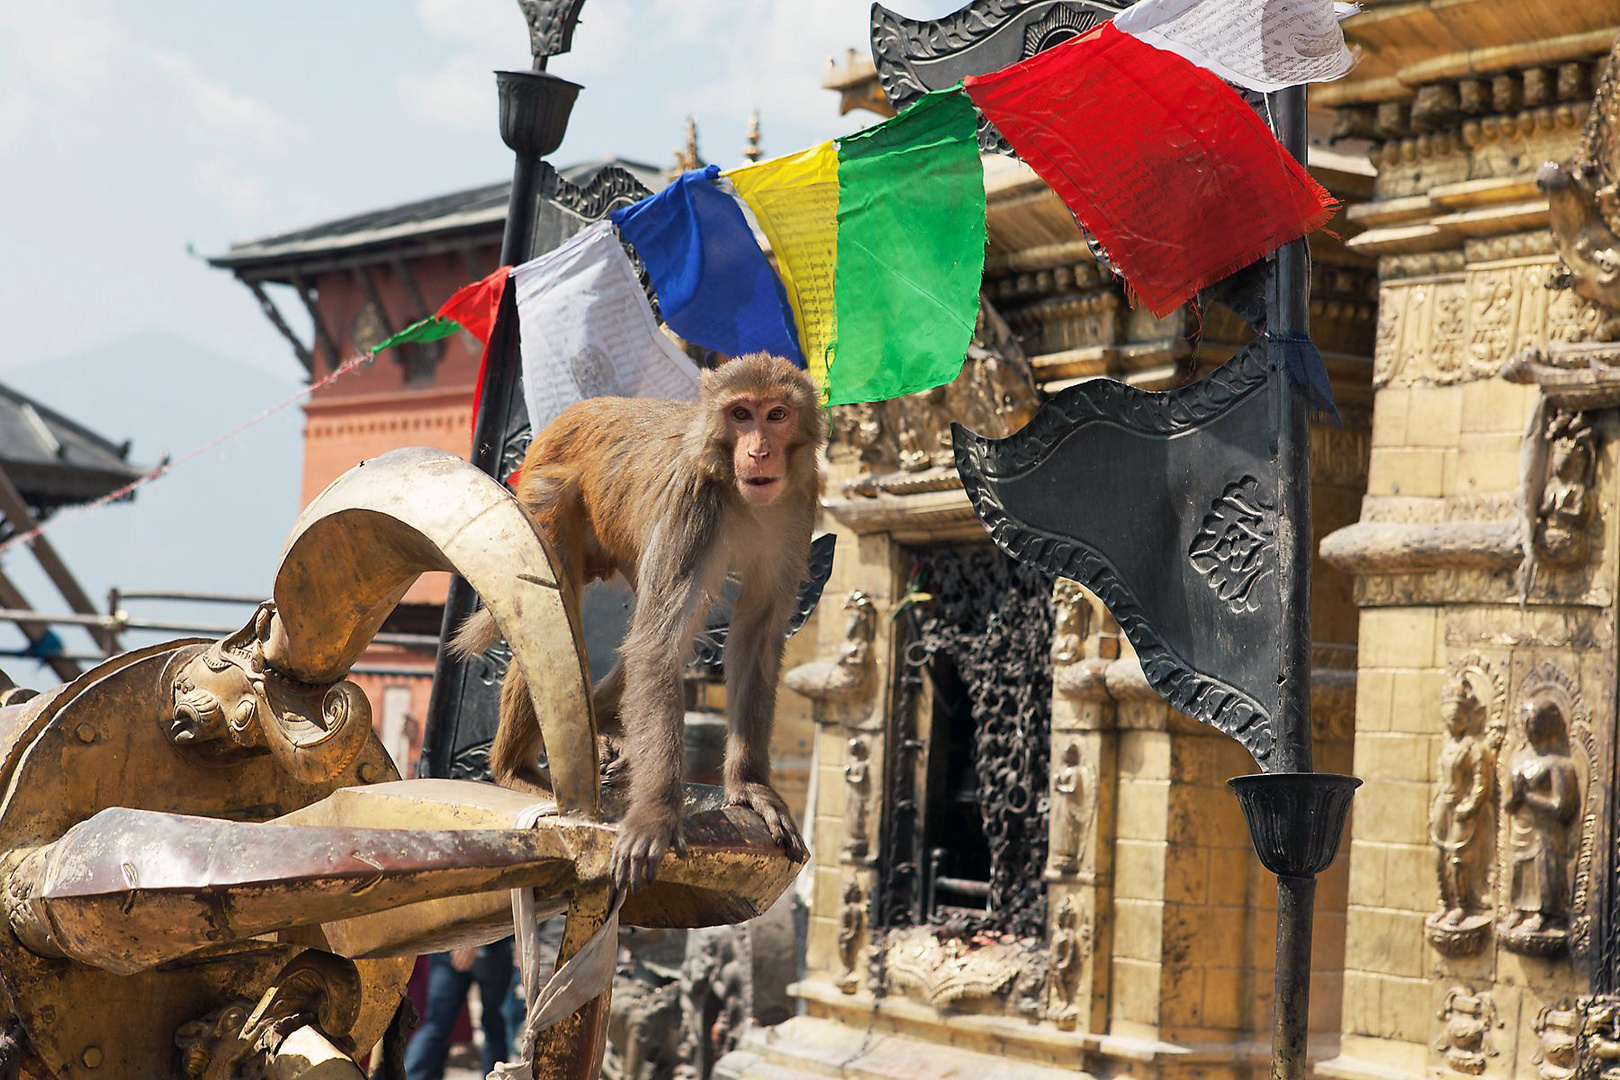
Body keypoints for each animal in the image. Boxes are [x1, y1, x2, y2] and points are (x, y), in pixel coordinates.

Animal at [450, 351, 816, 893]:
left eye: (776, 415)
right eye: (740, 414)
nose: (759, 452)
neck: (739, 496)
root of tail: (576, 412)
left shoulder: (796, 512)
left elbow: (756, 635)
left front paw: (751, 787)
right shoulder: (692, 505)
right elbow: (658, 645)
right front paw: (655, 816)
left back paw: (606, 731)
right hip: (547, 499)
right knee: (553, 607)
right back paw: (515, 769)